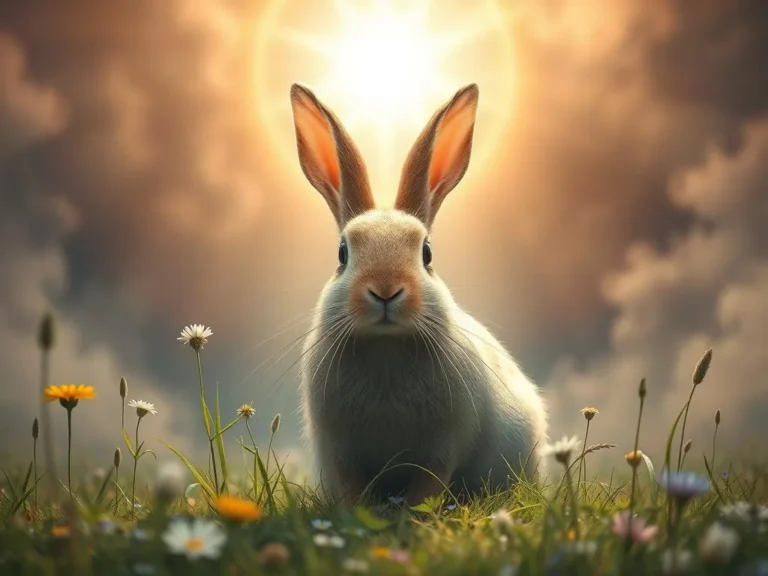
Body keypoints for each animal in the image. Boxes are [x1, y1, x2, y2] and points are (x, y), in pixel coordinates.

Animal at [289, 82, 549, 506]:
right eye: (342, 253)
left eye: (427, 253)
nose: (385, 290)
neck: (386, 348)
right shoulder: (342, 452)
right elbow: (352, 488)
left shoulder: (441, 448)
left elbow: (428, 485)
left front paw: (413, 512)